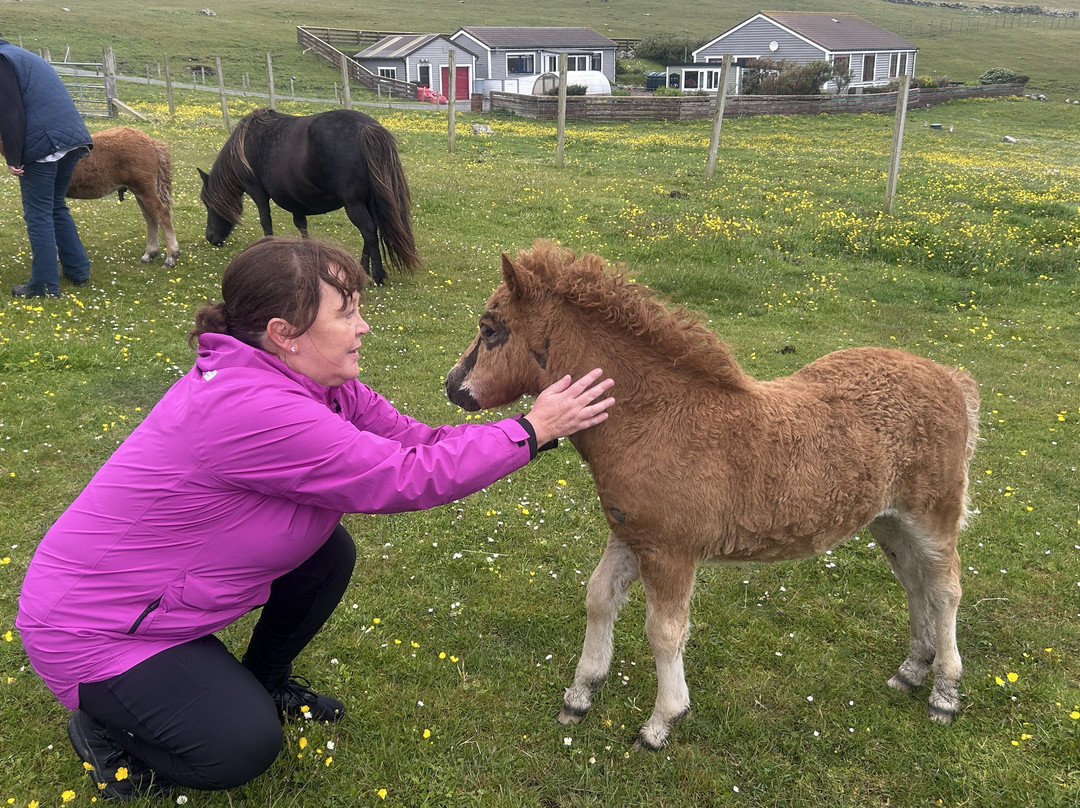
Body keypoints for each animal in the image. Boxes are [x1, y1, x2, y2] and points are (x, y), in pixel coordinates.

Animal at [1, 126, 179, 267]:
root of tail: (150, 142)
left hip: (144, 189)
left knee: (161, 213)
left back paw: (171, 256)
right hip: (140, 191)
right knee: (150, 218)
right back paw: (149, 253)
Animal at [198, 108, 420, 285]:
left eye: (207, 203)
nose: (211, 237)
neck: (245, 141)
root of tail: (367, 127)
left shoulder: (257, 191)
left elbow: (266, 222)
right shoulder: (296, 201)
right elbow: (301, 226)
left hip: (354, 203)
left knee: (368, 231)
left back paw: (377, 276)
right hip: (368, 202)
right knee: (371, 231)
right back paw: (362, 269)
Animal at [445, 242, 980, 750]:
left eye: (489, 329)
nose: (453, 387)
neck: (651, 419)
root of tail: (952, 379)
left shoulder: (671, 551)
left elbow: (664, 632)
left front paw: (661, 723)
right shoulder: (629, 534)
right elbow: (599, 598)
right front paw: (579, 696)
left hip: (934, 512)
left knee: (946, 587)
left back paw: (944, 692)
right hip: (886, 519)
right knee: (914, 581)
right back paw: (912, 669)